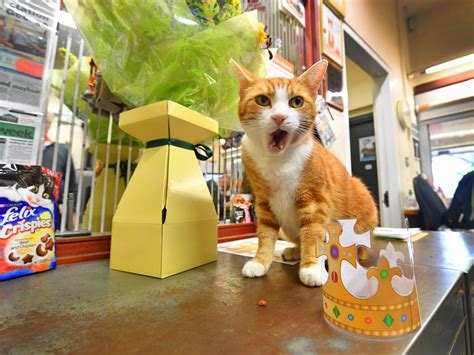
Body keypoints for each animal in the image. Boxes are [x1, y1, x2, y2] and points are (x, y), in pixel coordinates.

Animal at [231, 58, 380, 286]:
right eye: (263, 100)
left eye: (297, 102)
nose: (279, 117)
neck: (278, 162)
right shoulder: (264, 203)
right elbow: (265, 234)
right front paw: (260, 262)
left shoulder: (315, 202)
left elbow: (312, 233)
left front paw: (311, 267)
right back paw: (294, 251)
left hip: (362, 199)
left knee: (358, 248)